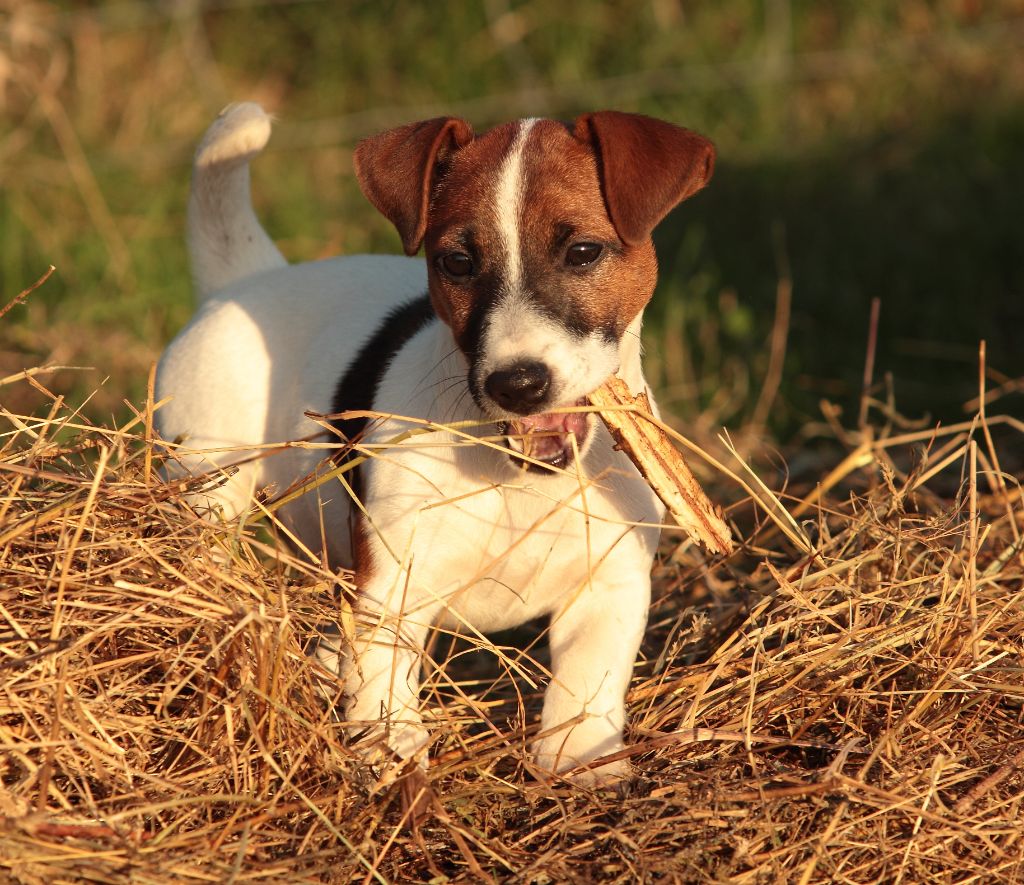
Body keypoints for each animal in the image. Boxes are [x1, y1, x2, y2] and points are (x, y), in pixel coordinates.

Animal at [157, 100, 712, 786]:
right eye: (457, 263)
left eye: (584, 252)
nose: (516, 383)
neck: (519, 480)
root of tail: (245, 282)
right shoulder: (393, 582)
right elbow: (383, 680)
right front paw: (389, 753)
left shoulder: (609, 581)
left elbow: (588, 681)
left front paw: (581, 757)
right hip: (206, 489)